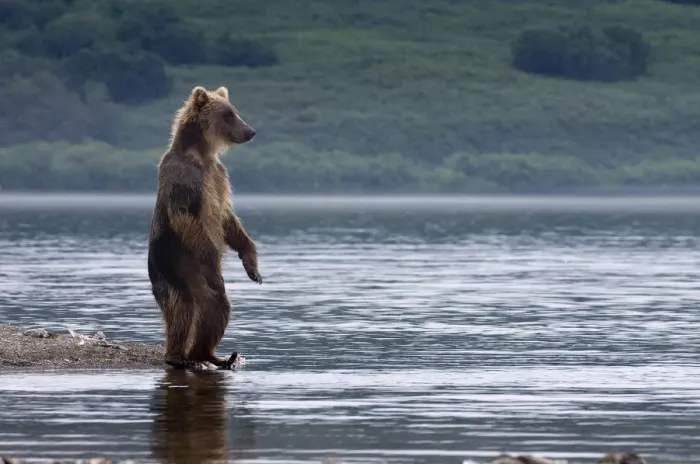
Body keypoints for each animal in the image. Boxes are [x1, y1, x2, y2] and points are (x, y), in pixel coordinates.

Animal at [147, 85, 262, 370]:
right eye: (229, 114)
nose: (251, 131)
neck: (202, 154)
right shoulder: (183, 179)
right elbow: (187, 217)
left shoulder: (219, 177)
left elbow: (227, 219)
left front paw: (253, 267)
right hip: (174, 261)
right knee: (184, 307)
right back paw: (178, 356)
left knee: (217, 304)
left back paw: (212, 355)